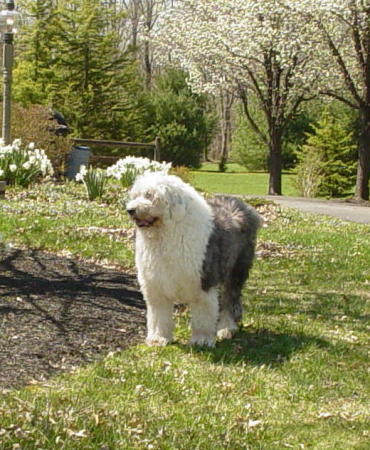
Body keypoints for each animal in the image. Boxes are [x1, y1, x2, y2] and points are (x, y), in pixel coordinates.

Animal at [125, 173, 262, 348]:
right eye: (136, 195)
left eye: (150, 195)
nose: (130, 210)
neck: (166, 234)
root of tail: (242, 205)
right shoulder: (155, 285)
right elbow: (158, 315)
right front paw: (158, 338)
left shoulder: (203, 282)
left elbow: (203, 315)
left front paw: (201, 340)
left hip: (236, 270)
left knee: (230, 299)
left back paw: (226, 328)